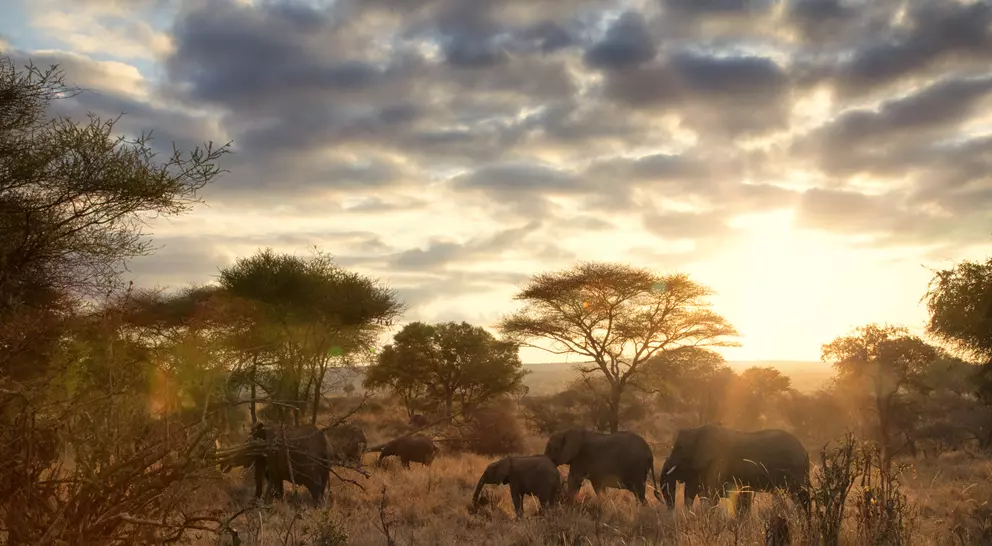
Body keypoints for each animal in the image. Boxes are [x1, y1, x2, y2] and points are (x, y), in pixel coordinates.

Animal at [659, 424, 811, 517]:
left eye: (679, 448)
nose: (671, 512)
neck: (696, 430)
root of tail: (804, 451)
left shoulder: (718, 462)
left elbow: (711, 495)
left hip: (795, 471)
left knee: (801, 496)